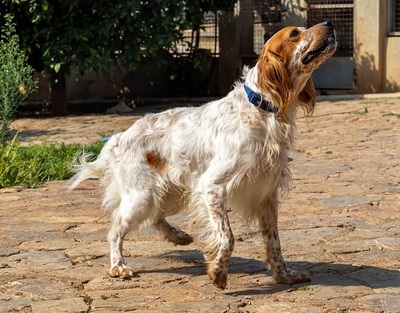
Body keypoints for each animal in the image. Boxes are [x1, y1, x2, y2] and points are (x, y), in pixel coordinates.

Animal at [69, 20, 338, 288]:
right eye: (294, 33)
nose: (329, 22)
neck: (262, 109)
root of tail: (118, 138)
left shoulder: (266, 194)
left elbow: (274, 243)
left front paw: (285, 275)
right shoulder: (211, 187)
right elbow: (228, 236)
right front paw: (218, 271)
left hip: (171, 192)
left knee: (155, 217)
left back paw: (178, 236)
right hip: (142, 196)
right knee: (115, 230)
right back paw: (119, 266)